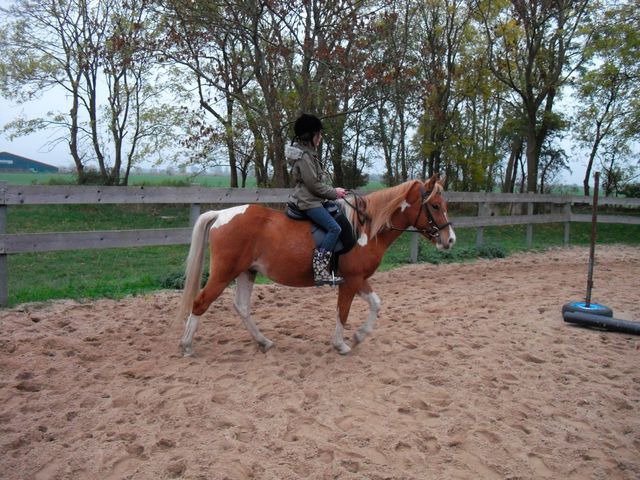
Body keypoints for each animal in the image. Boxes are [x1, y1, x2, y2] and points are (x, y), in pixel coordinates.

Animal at [175, 174, 456, 354]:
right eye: (434, 206)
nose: (450, 239)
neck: (364, 228)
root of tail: (221, 214)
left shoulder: (359, 279)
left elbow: (376, 304)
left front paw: (359, 335)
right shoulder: (351, 281)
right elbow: (342, 312)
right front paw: (341, 344)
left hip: (247, 272)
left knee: (242, 307)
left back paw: (263, 342)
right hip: (224, 273)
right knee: (200, 303)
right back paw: (187, 345)